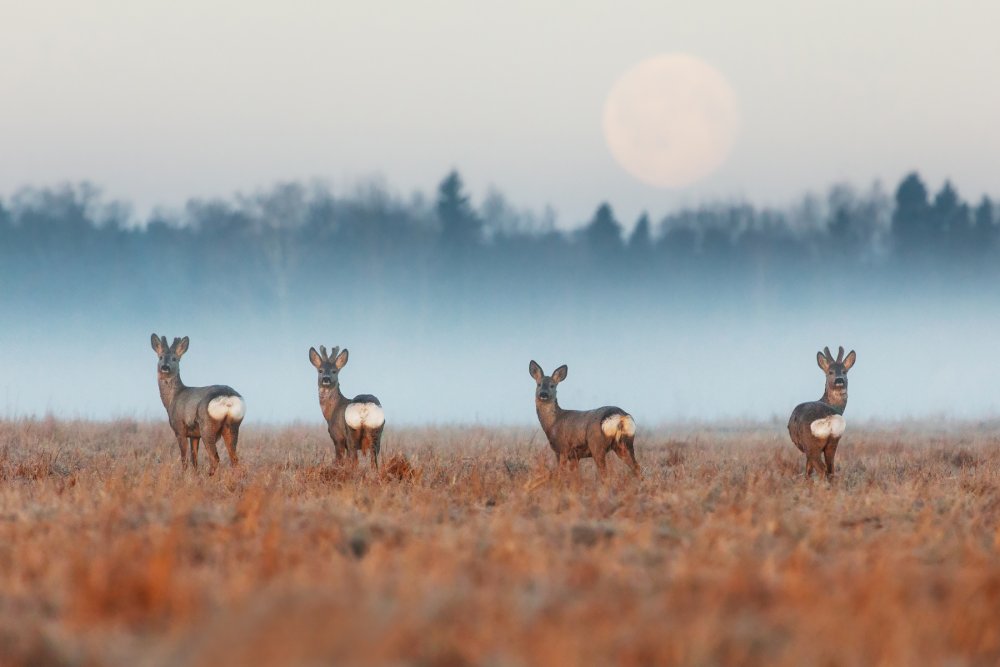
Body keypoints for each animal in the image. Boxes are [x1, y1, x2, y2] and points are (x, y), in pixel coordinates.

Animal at [150, 334, 248, 474]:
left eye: (175, 358)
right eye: (161, 357)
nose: (165, 367)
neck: (172, 398)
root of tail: (228, 399)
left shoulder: (180, 429)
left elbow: (184, 459)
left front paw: (184, 476)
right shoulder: (195, 435)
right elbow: (194, 460)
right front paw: (194, 475)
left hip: (207, 427)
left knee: (215, 459)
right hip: (233, 425)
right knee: (235, 460)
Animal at [784, 348, 856, 478]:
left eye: (844, 371)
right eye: (830, 372)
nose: (839, 380)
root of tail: (828, 418)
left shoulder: (806, 447)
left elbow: (808, 471)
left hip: (811, 444)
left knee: (822, 469)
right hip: (833, 442)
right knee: (831, 470)